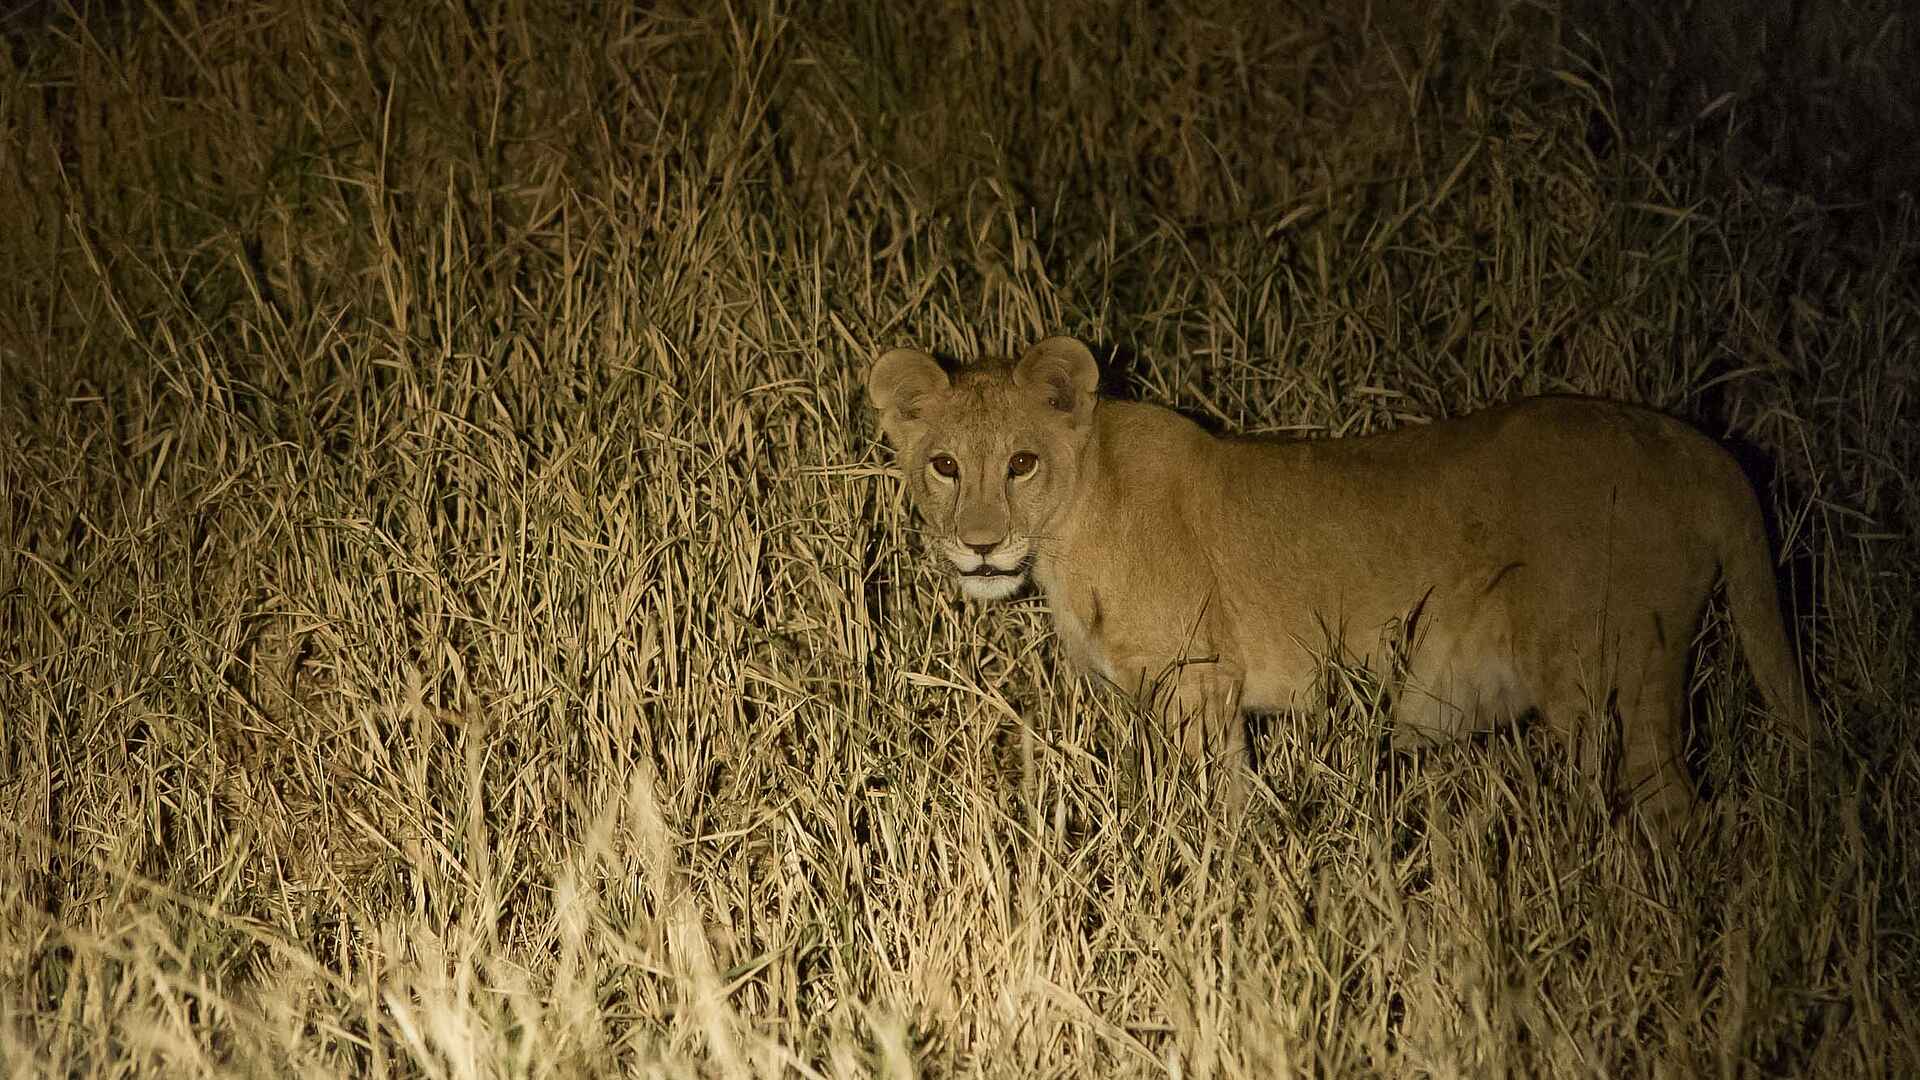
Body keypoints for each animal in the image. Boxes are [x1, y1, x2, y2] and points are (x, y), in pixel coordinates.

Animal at [865, 336, 1811, 828]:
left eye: (1021, 463)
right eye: (945, 465)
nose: (980, 547)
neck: (1072, 518)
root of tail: (1695, 445)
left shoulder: (1200, 681)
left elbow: (1218, 803)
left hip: (1596, 673)